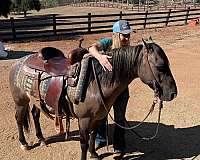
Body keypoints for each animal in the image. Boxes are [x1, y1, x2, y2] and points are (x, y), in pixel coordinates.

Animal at [9, 38, 177, 160]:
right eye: (160, 66)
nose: (173, 94)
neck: (95, 82)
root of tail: (20, 62)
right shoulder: (84, 119)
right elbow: (83, 142)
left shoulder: (98, 117)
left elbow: (94, 135)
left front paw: (94, 154)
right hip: (20, 101)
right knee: (18, 119)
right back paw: (24, 143)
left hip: (37, 100)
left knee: (35, 115)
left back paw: (41, 139)